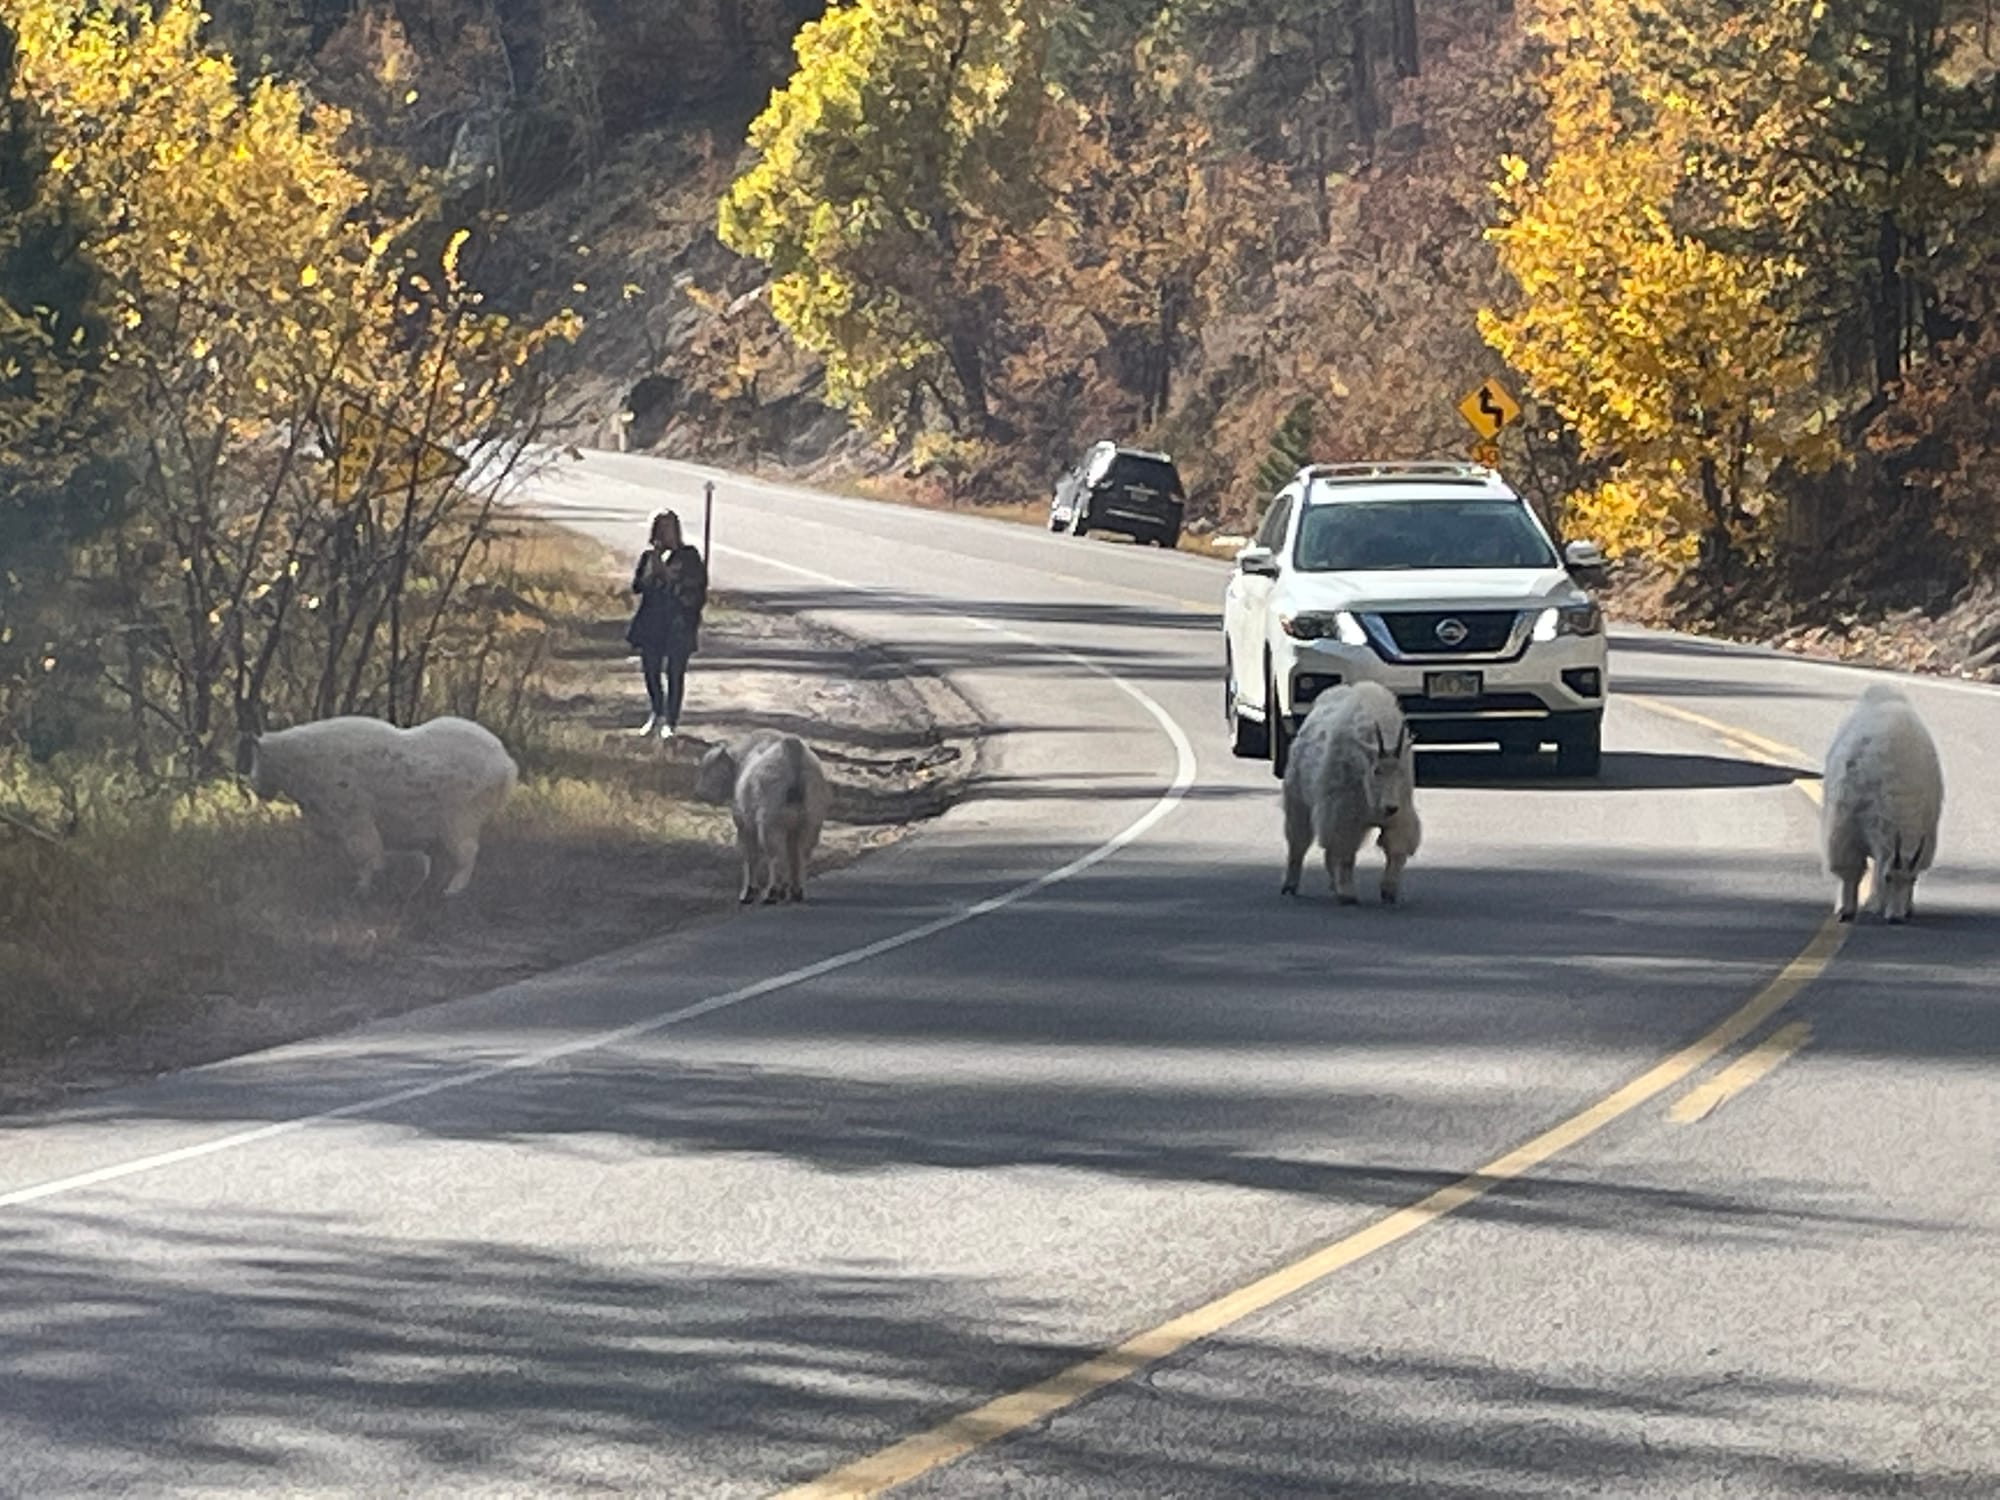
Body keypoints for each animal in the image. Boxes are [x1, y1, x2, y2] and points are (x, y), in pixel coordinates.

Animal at [245, 712, 516, 900]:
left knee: (466, 854)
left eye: (258, 757)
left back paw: (453, 891)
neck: (301, 763)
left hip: (460, 820)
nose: (254, 785)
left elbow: (365, 856)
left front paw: (361, 890)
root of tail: (506, 764)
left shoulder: (354, 819)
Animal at [700, 728, 832, 904]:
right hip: (810, 822)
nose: (700, 791)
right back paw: (796, 891)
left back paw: (773, 892)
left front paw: (749, 892)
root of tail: (792, 749)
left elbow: (751, 856)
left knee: (775, 856)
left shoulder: (745, 825)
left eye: (708, 768)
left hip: (771, 823)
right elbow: (792, 857)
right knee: (801, 854)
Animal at [1280, 680, 1424, 904]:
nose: (1390, 807)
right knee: (1299, 842)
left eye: (1400, 771)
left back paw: (1333, 885)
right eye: (1376, 771)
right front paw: (1348, 894)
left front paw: (1389, 891)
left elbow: (1396, 849)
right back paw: (1290, 885)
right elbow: (1346, 855)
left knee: (1328, 854)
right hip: (1298, 799)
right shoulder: (1344, 816)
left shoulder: (1400, 813)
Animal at [1824, 684, 1944, 924]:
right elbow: (1849, 872)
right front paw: (1845, 910)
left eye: (1913, 879)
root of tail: (1883, 692)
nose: (1896, 918)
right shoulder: (1845, 828)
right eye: (1889, 878)